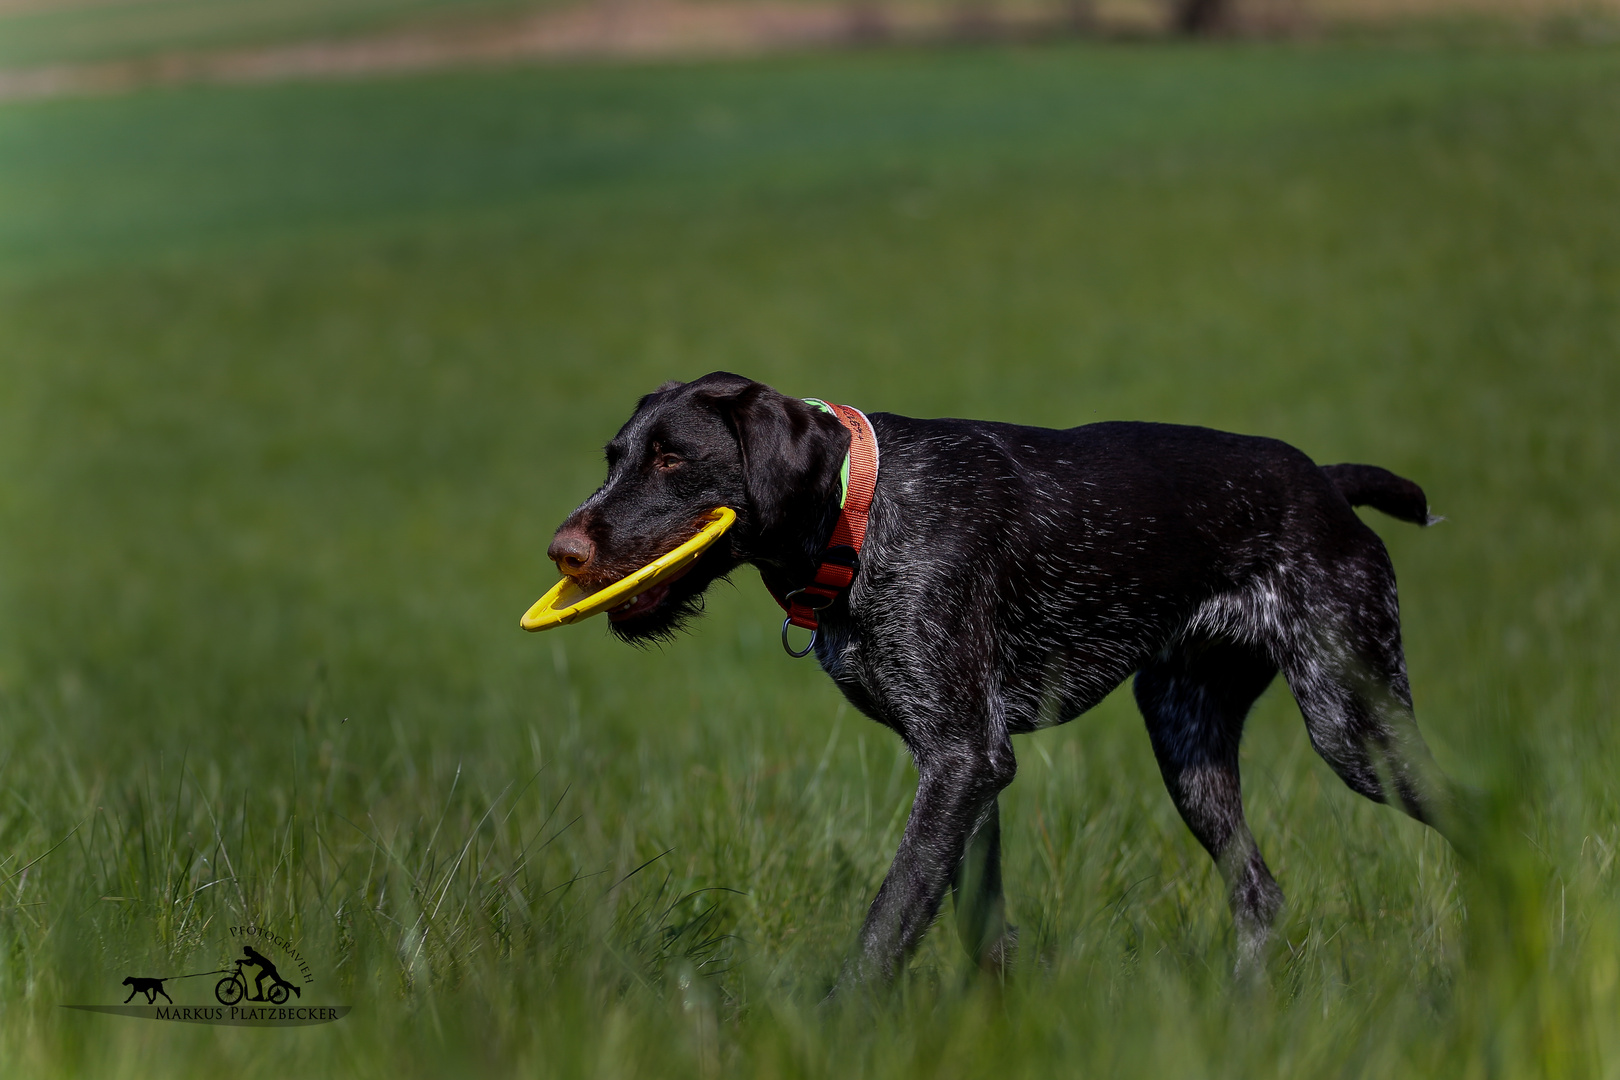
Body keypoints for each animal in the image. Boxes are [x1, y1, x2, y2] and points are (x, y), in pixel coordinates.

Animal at [550, 372, 1464, 990]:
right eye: (615, 457)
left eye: (672, 460)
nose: (562, 551)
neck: (860, 512)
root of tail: (1325, 482)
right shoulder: (963, 769)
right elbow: (972, 919)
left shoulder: (964, 758)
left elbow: (890, 918)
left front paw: (843, 1026)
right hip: (1189, 745)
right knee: (1259, 895)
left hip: (1354, 727)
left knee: (1470, 808)